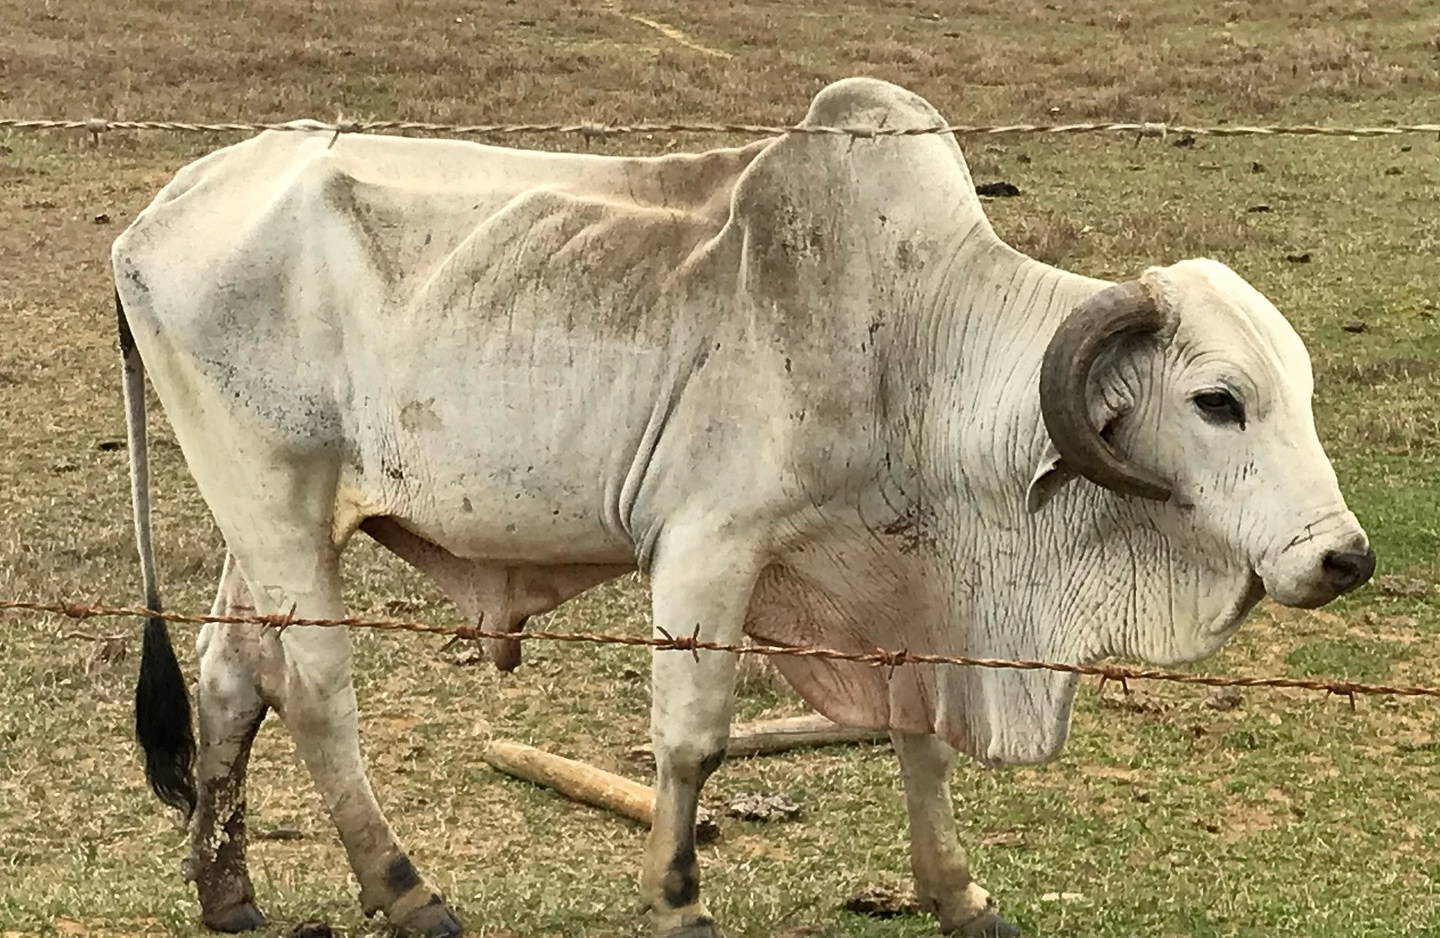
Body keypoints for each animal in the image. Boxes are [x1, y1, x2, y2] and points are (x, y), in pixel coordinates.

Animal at [113, 76, 1374, 938]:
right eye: (1219, 400)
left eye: (1301, 388)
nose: (1344, 556)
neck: (916, 340)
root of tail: (160, 211)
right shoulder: (706, 544)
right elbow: (693, 735)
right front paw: (677, 896)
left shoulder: (899, 586)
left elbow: (919, 731)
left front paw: (955, 887)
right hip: (276, 497)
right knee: (317, 688)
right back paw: (404, 886)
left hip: (267, 517)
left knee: (233, 679)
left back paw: (226, 884)